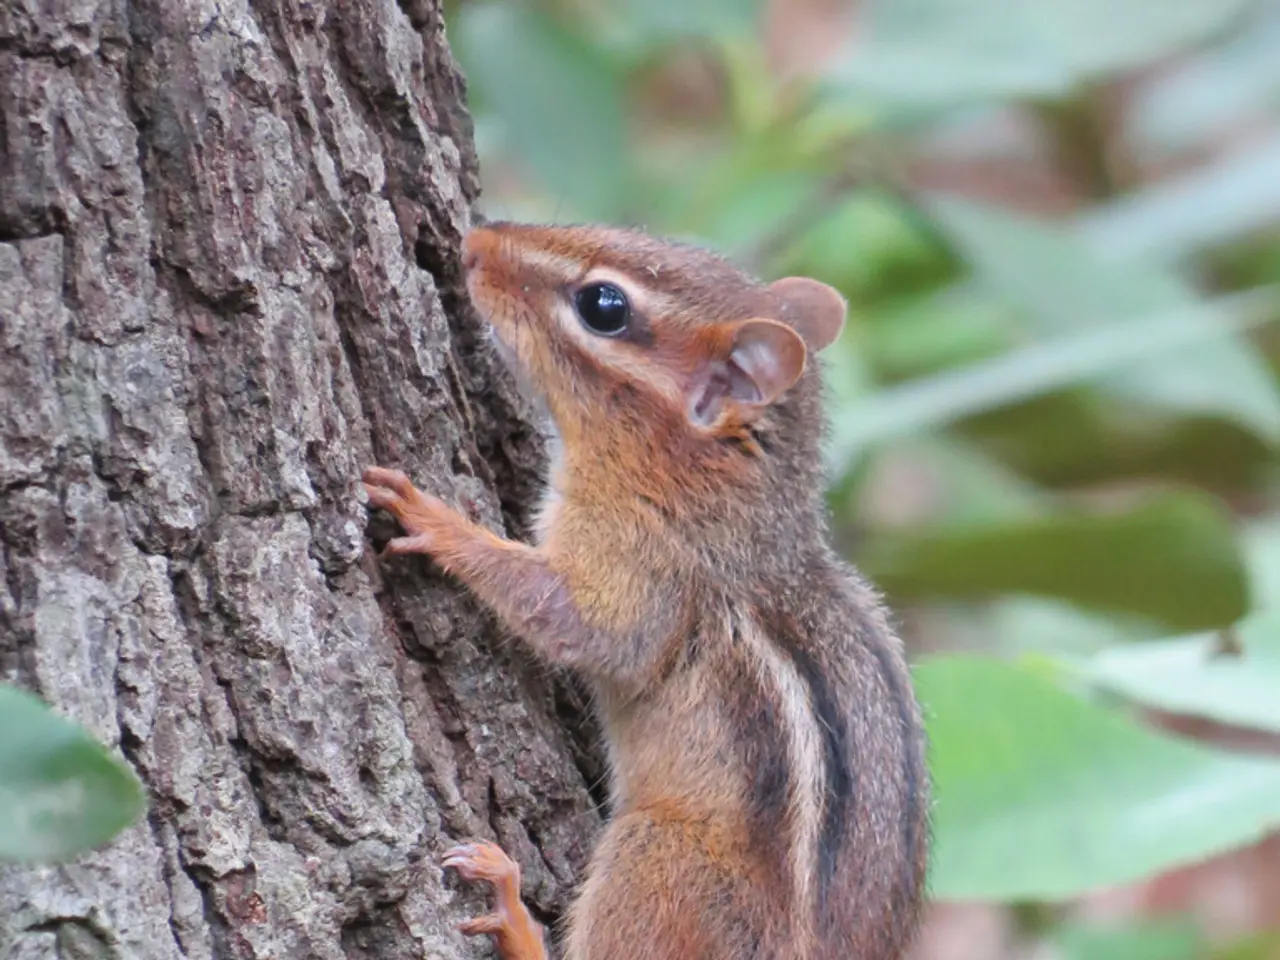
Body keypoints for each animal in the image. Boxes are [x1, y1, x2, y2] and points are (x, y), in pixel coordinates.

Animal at [362, 221, 929, 960]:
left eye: (604, 306)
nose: (475, 241)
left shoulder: (645, 560)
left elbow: (580, 623)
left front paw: (438, 523)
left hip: (654, 855)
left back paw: (511, 911)